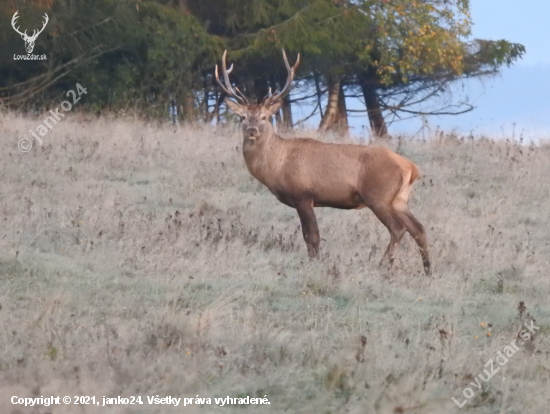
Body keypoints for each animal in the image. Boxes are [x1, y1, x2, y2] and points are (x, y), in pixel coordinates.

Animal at [215, 49, 432, 274]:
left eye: (265, 117)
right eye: (242, 117)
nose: (252, 130)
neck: (277, 166)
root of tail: (411, 168)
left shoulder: (303, 194)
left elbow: (312, 236)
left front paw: (314, 264)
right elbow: (308, 236)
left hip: (379, 196)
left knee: (398, 228)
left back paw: (383, 265)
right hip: (399, 199)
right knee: (418, 228)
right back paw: (427, 270)